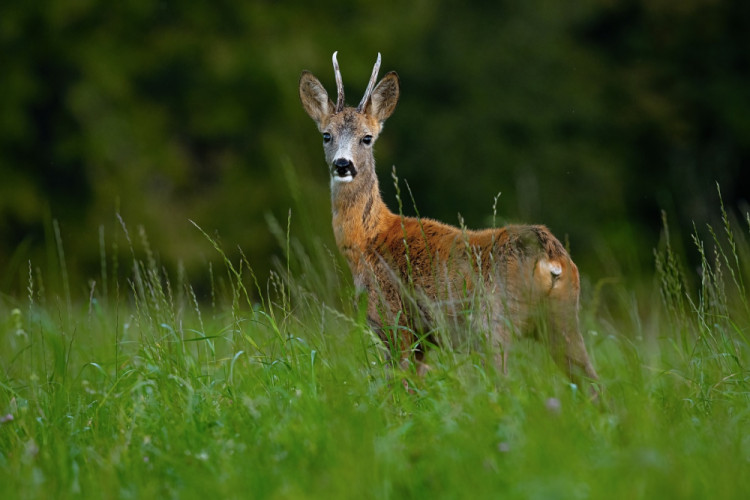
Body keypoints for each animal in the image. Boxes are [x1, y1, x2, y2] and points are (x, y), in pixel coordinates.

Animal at [300, 51, 600, 394]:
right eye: (327, 136)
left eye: (367, 138)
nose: (343, 165)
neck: (368, 240)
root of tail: (550, 258)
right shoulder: (422, 338)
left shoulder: (394, 320)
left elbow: (399, 388)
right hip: (564, 318)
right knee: (594, 385)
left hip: (494, 322)